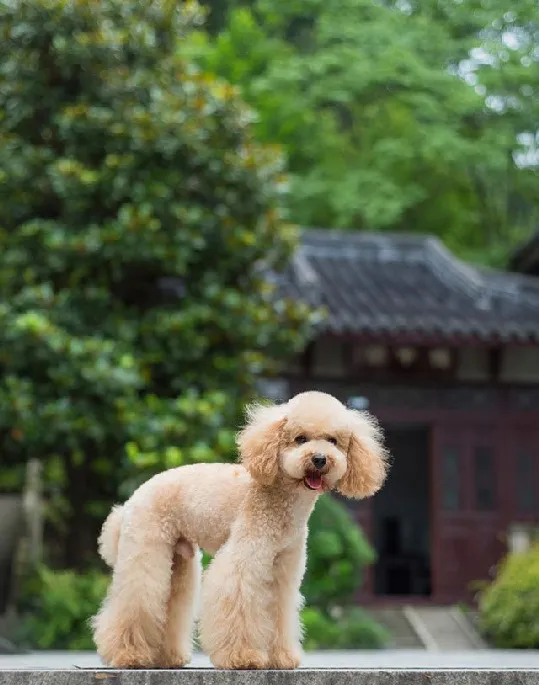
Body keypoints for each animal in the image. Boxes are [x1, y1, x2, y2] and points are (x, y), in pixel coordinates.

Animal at [93, 390, 388, 668]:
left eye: (333, 441)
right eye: (300, 439)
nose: (319, 459)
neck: (281, 497)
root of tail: (131, 500)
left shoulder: (283, 568)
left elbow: (279, 611)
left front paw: (282, 657)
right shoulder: (246, 557)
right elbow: (239, 599)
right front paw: (243, 658)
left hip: (179, 560)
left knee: (172, 602)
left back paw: (168, 657)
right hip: (146, 547)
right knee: (136, 598)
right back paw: (129, 655)